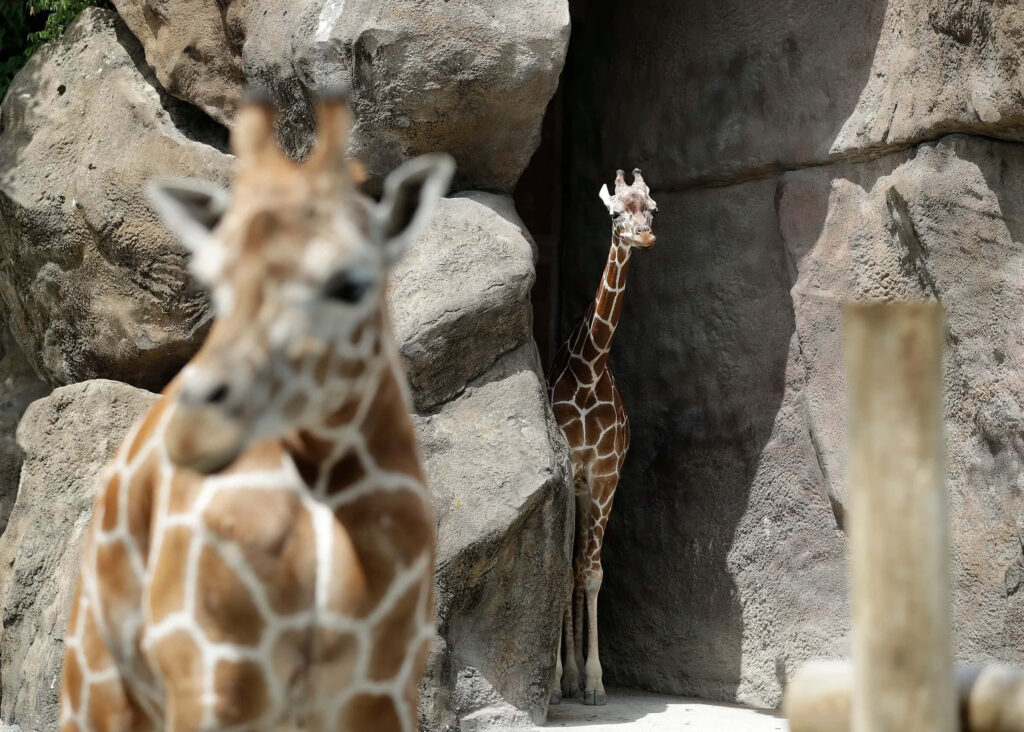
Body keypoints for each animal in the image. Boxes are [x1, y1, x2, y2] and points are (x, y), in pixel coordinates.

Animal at [58, 89, 455, 732]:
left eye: (350, 284)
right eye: (212, 277)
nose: (196, 429)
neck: (319, 474)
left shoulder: (381, 689)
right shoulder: (216, 678)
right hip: (99, 684)